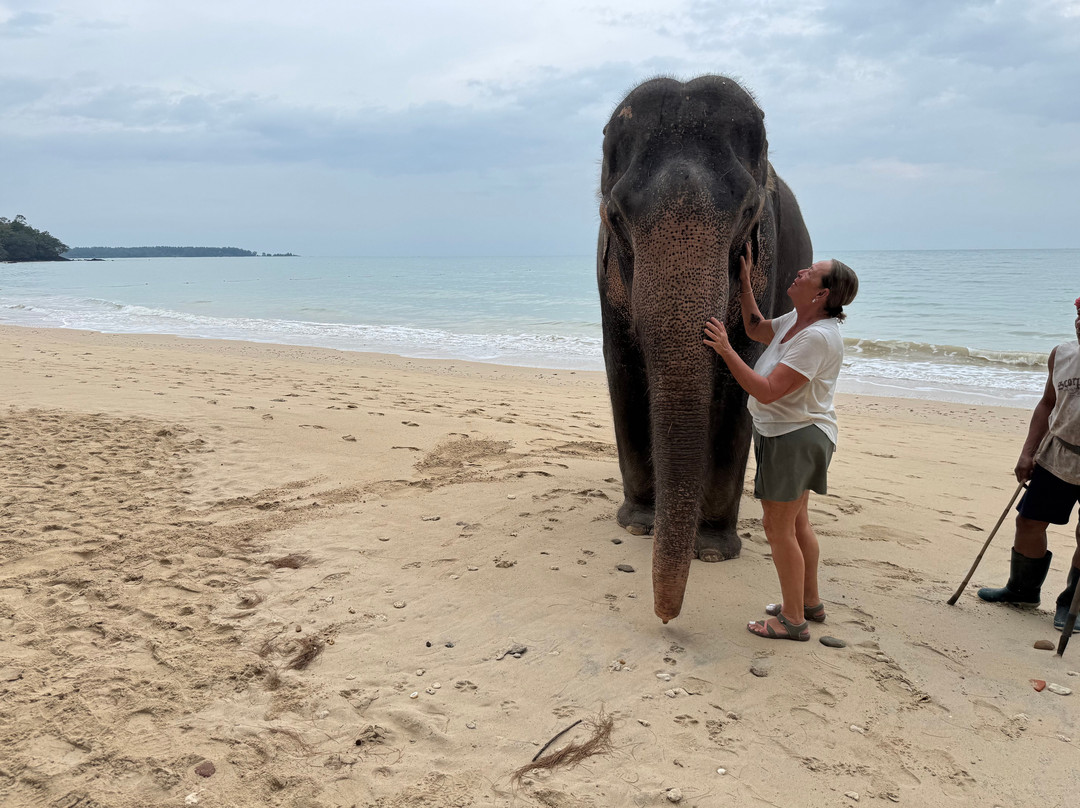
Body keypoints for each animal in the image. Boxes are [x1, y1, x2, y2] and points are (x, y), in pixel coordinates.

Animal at [596, 75, 813, 623]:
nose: (665, 616)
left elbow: (742, 378)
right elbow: (623, 367)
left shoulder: (767, 259)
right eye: (615, 215)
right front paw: (637, 524)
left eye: (750, 212)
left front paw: (713, 551)